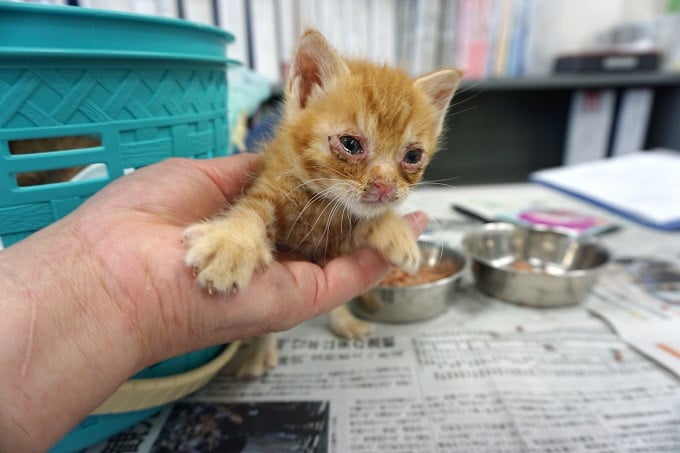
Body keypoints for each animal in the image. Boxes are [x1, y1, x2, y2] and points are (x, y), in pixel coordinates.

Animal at [183, 30, 462, 376]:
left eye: (412, 156)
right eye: (351, 144)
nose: (385, 187)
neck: (323, 203)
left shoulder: (343, 240)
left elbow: (367, 222)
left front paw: (394, 231)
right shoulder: (269, 184)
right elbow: (252, 210)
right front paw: (232, 244)